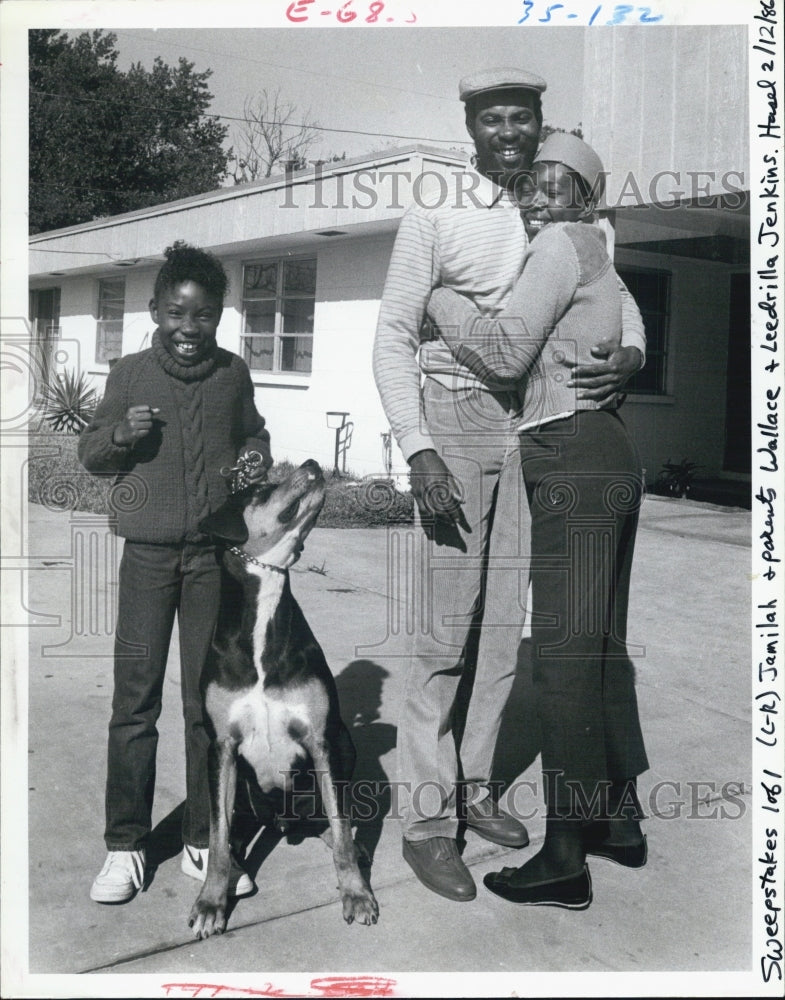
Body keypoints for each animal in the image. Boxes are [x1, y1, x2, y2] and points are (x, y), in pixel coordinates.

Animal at [187, 460, 376, 936]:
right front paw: (211, 903)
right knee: (232, 834)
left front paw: (356, 893)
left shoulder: (322, 740)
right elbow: (217, 838)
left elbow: (341, 826)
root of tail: (283, 821)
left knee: (333, 820)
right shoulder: (222, 747)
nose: (312, 464)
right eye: (258, 489)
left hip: (345, 745)